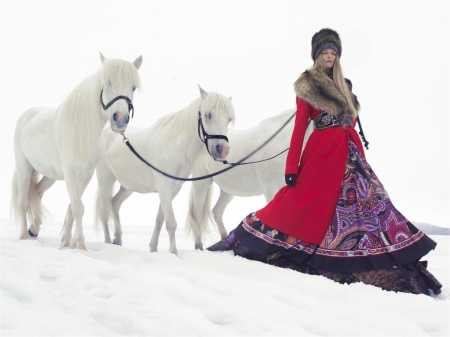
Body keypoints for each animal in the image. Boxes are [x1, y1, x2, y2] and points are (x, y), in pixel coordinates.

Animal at [11, 51, 142, 248]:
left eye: (133, 87)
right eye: (108, 82)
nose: (120, 120)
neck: (84, 130)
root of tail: (27, 116)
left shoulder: (85, 175)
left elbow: (73, 206)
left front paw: (66, 241)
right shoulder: (71, 174)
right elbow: (78, 207)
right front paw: (80, 244)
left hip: (50, 175)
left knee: (38, 192)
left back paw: (34, 230)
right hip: (24, 167)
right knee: (23, 202)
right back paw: (24, 236)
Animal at [95, 85, 236, 253]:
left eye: (229, 119)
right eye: (208, 114)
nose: (223, 150)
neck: (174, 144)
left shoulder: (173, 190)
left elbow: (160, 219)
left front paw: (153, 248)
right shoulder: (164, 187)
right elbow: (171, 223)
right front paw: (173, 253)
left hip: (128, 186)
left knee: (115, 204)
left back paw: (118, 240)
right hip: (105, 180)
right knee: (104, 212)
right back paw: (108, 243)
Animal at [186, 108, 312, 249]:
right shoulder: (272, 190)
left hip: (228, 190)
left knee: (217, 211)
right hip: (201, 183)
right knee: (197, 213)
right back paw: (199, 245)